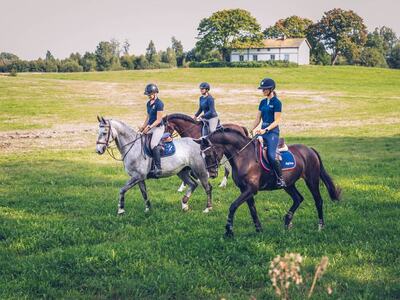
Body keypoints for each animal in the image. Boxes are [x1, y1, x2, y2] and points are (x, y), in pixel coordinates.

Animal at [194, 127, 340, 238]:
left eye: (209, 154)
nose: (212, 174)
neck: (244, 156)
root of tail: (309, 149)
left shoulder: (251, 189)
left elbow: (233, 206)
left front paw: (229, 230)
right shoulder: (245, 190)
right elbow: (252, 210)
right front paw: (259, 229)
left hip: (311, 180)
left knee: (318, 200)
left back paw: (320, 226)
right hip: (289, 184)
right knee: (298, 198)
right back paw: (287, 222)